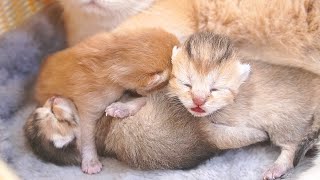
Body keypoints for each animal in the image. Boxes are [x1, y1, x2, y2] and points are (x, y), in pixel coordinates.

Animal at [35, 27, 180, 173]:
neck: (111, 57)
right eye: (170, 79)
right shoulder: (89, 105)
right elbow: (86, 136)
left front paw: (121, 108)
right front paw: (91, 161)